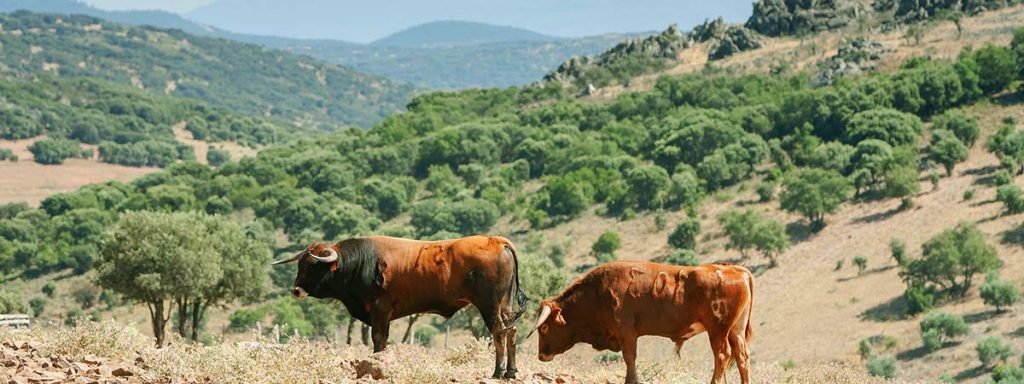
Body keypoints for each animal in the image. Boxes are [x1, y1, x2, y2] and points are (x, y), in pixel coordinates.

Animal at [272, 234, 528, 378]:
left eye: (313, 266)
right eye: (300, 264)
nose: (296, 290)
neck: (362, 262)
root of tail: (497, 241)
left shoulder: (380, 310)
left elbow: (378, 339)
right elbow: (383, 340)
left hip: (489, 305)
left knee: (498, 332)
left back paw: (498, 372)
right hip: (504, 305)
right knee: (512, 331)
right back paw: (511, 372)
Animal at [528, 262, 753, 384]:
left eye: (544, 327)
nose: (541, 355)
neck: (597, 294)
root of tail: (736, 270)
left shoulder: (626, 332)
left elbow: (630, 358)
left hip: (718, 330)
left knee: (722, 356)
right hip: (736, 331)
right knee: (742, 358)